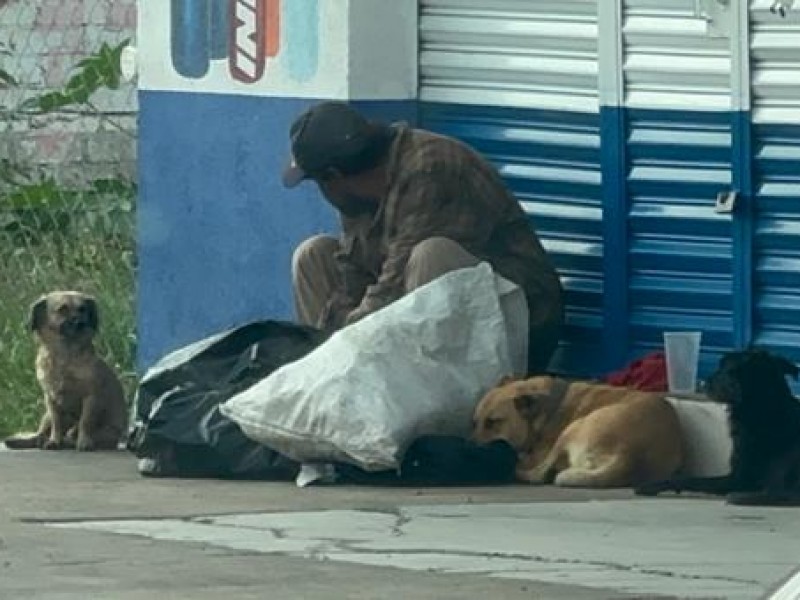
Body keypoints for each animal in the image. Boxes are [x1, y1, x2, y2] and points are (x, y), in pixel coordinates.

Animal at [4, 290, 128, 450]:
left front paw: (84, 442)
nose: (81, 322)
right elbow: (57, 424)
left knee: (74, 433)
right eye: (62, 309)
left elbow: (85, 422)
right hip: (46, 416)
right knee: (40, 434)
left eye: (83, 309)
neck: (65, 356)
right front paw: (54, 441)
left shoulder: (91, 398)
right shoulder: (51, 400)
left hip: (108, 433)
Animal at [472, 376, 684, 488]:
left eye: (492, 423)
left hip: (573, 428)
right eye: (475, 423)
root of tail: (630, 456)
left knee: (538, 475)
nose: (471, 447)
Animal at [636, 350, 800, 504]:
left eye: (724, 369)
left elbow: (689, 479)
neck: (765, 411)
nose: (701, 382)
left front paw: (652, 485)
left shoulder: (742, 480)